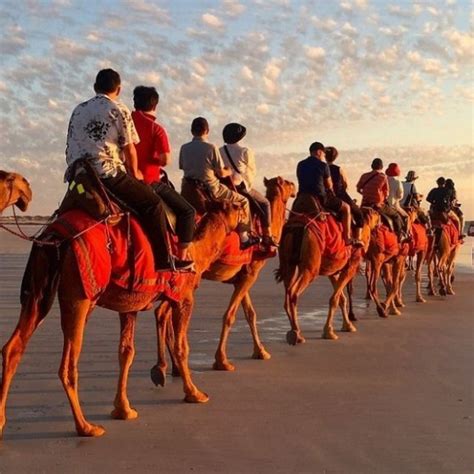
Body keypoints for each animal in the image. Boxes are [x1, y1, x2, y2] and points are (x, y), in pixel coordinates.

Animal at [0, 202, 243, 438]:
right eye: (240, 208)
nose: (249, 233)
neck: (197, 251)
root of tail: (54, 237)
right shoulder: (183, 298)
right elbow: (182, 346)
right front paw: (195, 393)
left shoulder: (130, 305)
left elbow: (126, 352)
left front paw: (123, 409)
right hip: (79, 294)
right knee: (68, 365)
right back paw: (86, 427)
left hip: (40, 288)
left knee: (13, 347)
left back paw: (2, 421)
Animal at [152, 177, 294, 386]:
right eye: (289, 183)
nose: (295, 188)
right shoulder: (251, 273)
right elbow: (230, 315)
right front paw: (222, 361)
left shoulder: (242, 277)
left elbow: (250, 313)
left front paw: (260, 351)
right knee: (162, 313)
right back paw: (167, 368)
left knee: (163, 314)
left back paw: (170, 369)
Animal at [276, 201, 380, 344]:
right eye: (374, 212)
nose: (379, 214)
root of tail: (295, 228)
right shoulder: (351, 266)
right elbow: (334, 299)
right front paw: (329, 332)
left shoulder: (333, 270)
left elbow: (341, 298)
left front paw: (347, 326)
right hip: (311, 265)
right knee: (293, 292)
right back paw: (296, 333)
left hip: (288, 263)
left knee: (287, 290)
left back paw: (294, 332)